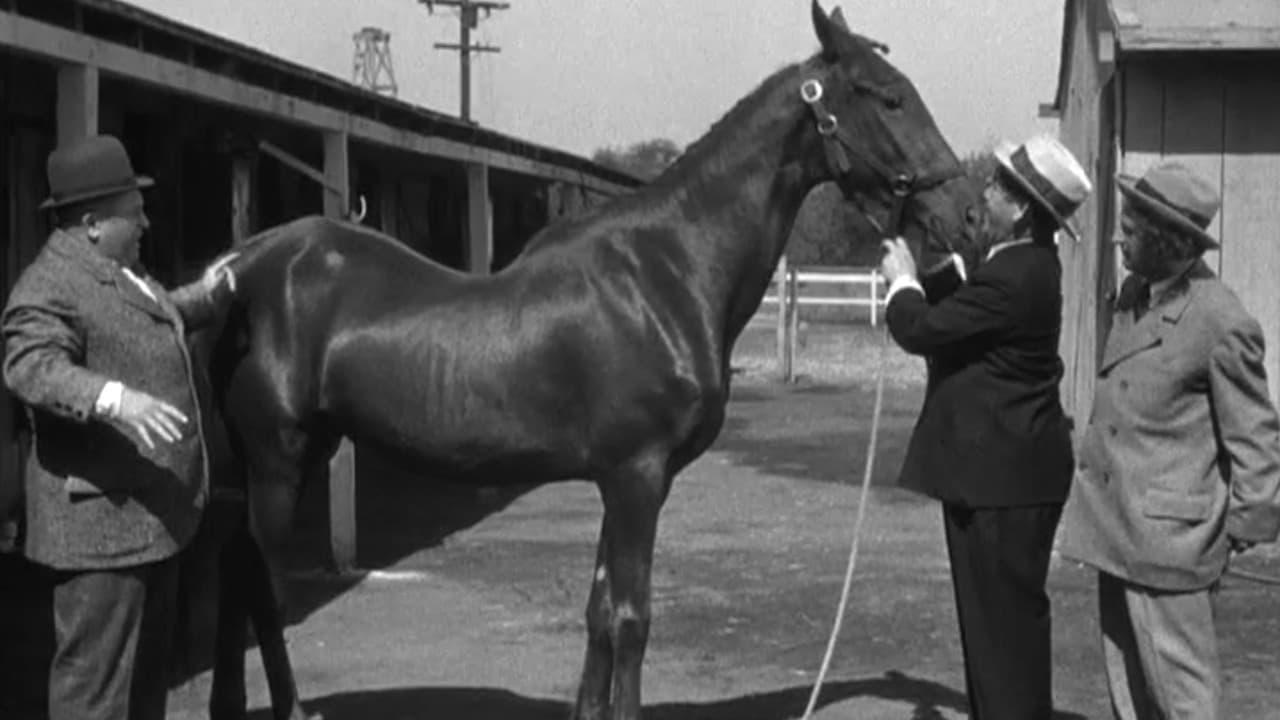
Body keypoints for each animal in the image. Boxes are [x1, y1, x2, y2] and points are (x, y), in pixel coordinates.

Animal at [207, 2, 977, 712]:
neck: (667, 271)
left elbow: (599, 613)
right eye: (888, 96)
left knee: (235, 584)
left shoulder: (618, 478)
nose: (965, 215)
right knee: (261, 591)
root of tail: (245, 265)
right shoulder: (638, 476)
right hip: (278, 460)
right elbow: (632, 620)